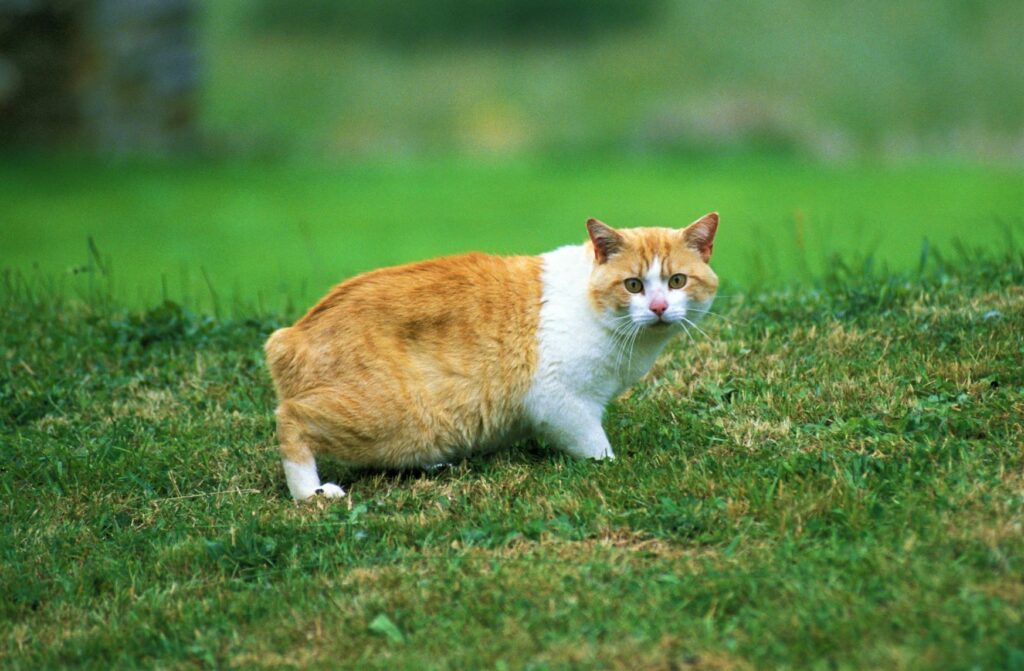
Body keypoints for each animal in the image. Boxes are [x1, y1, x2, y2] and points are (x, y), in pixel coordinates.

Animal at [270, 213, 720, 501]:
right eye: (633, 285)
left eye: (677, 281)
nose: (659, 307)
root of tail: (290, 335)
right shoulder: (562, 403)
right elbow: (595, 446)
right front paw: (610, 466)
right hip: (385, 416)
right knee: (291, 419)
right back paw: (309, 492)